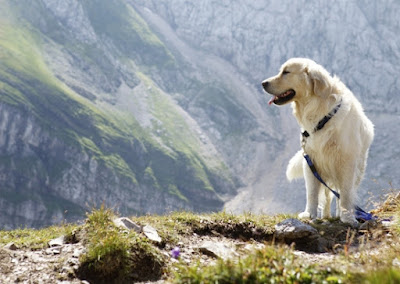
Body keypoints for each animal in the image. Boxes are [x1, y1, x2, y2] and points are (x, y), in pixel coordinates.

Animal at [260, 58, 374, 226]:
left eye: (286, 72)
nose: (263, 83)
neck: (321, 114)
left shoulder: (346, 162)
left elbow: (346, 193)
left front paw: (347, 217)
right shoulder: (311, 161)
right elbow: (312, 192)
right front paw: (310, 214)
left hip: (358, 168)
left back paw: (339, 213)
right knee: (327, 196)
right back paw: (326, 215)